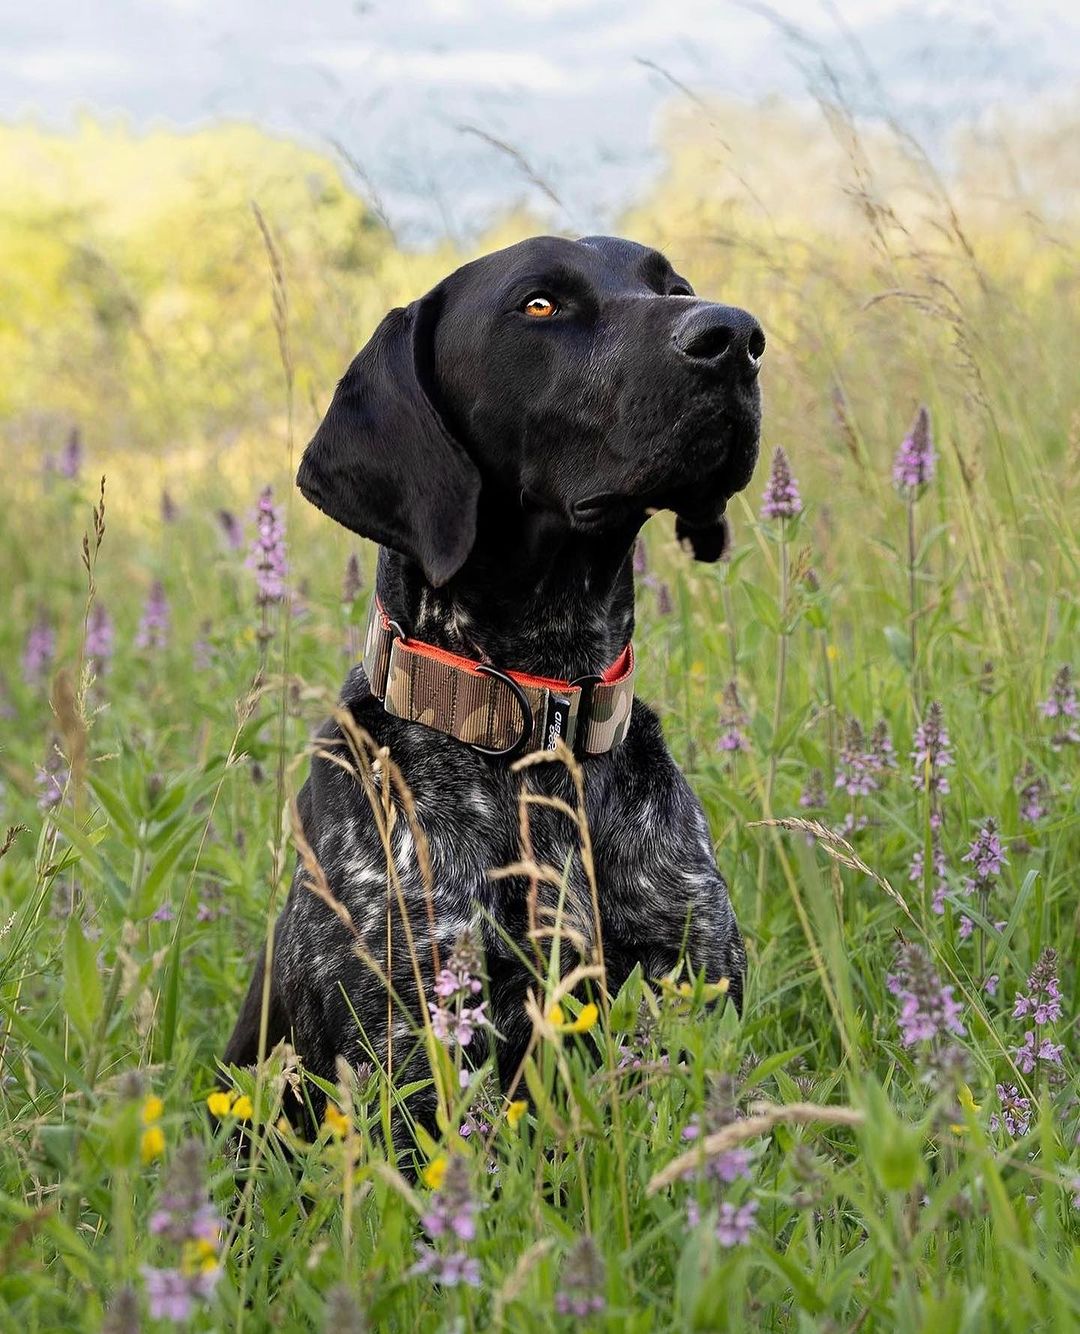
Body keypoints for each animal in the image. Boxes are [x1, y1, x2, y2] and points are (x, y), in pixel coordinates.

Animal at [221, 234, 757, 1131]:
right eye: (538, 304)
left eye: (674, 285)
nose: (738, 336)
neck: (544, 714)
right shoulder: (414, 1048)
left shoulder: (691, 983)